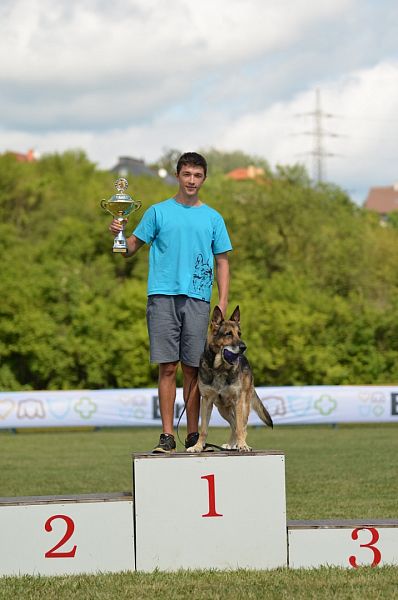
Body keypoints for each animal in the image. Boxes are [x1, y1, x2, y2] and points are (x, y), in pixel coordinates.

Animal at [187, 304, 274, 450]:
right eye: (228, 334)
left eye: (239, 334)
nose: (244, 347)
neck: (220, 369)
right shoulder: (206, 402)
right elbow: (204, 429)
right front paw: (198, 446)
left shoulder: (238, 401)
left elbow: (240, 427)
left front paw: (242, 446)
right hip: (223, 409)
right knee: (233, 425)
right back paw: (231, 444)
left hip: (243, 405)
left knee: (242, 427)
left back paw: (241, 444)